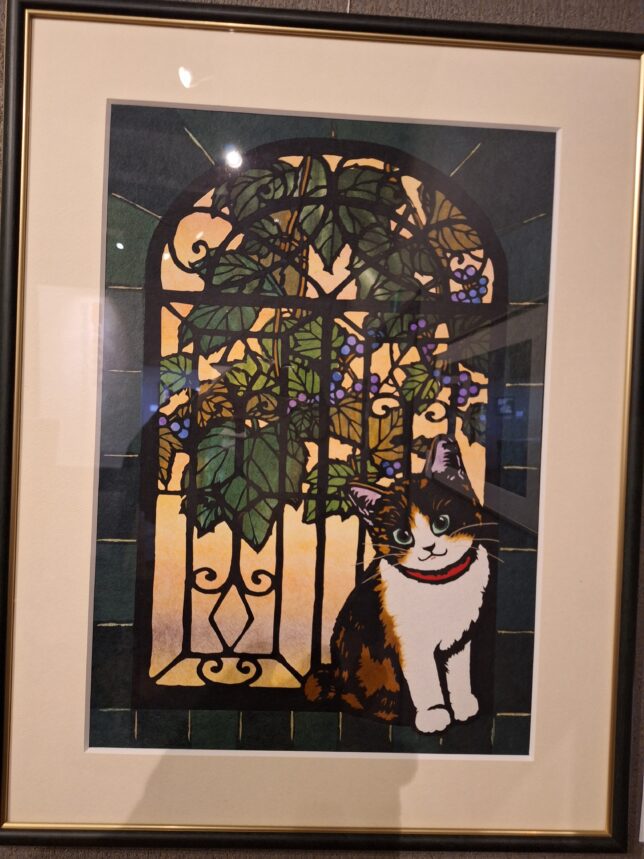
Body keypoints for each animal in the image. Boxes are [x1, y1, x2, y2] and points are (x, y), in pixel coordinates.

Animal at [304, 434, 492, 734]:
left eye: (441, 522)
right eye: (402, 536)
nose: (428, 548)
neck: (439, 585)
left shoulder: (460, 639)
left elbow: (459, 673)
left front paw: (463, 705)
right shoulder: (409, 642)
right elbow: (426, 680)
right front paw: (435, 715)